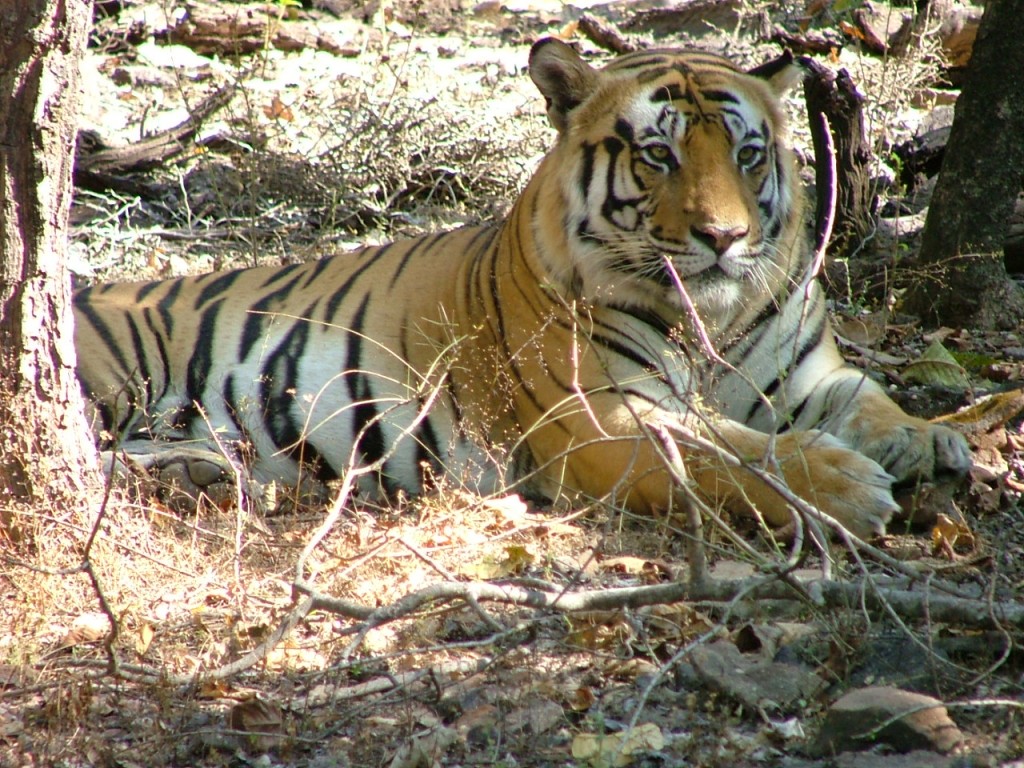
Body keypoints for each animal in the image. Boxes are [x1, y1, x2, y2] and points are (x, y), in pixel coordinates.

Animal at [74, 37, 966, 540]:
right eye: (659, 155)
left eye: (748, 155)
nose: (724, 238)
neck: (713, 318)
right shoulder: (609, 419)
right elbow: (736, 456)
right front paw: (849, 487)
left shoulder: (809, 377)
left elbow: (873, 401)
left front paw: (940, 442)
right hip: (109, 381)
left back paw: (199, 475)